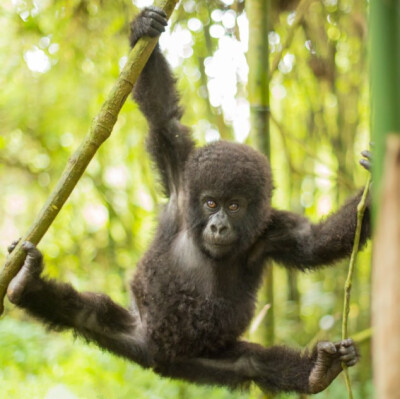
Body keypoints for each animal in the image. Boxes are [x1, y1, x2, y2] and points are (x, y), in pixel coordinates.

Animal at [7, 7, 368, 396]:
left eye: (234, 206)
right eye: (210, 203)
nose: (219, 226)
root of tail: (160, 360)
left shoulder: (271, 231)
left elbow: (313, 243)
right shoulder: (181, 181)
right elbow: (163, 118)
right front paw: (144, 28)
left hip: (206, 360)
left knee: (253, 363)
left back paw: (317, 370)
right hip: (137, 331)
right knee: (87, 314)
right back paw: (26, 285)